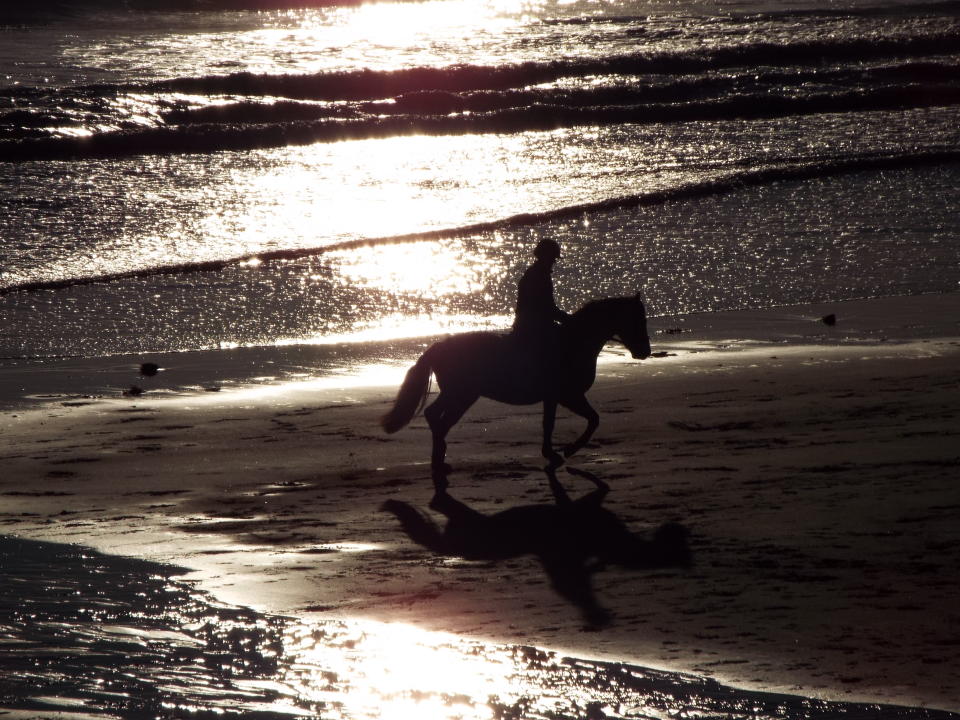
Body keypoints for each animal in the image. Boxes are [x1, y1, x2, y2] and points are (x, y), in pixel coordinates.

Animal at [382, 296, 652, 480]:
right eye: (637, 319)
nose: (645, 352)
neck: (573, 343)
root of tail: (437, 346)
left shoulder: (556, 397)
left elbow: (553, 423)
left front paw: (553, 452)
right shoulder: (567, 395)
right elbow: (591, 420)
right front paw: (567, 450)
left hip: (459, 394)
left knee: (435, 416)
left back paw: (439, 459)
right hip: (462, 395)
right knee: (438, 419)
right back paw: (439, 459)